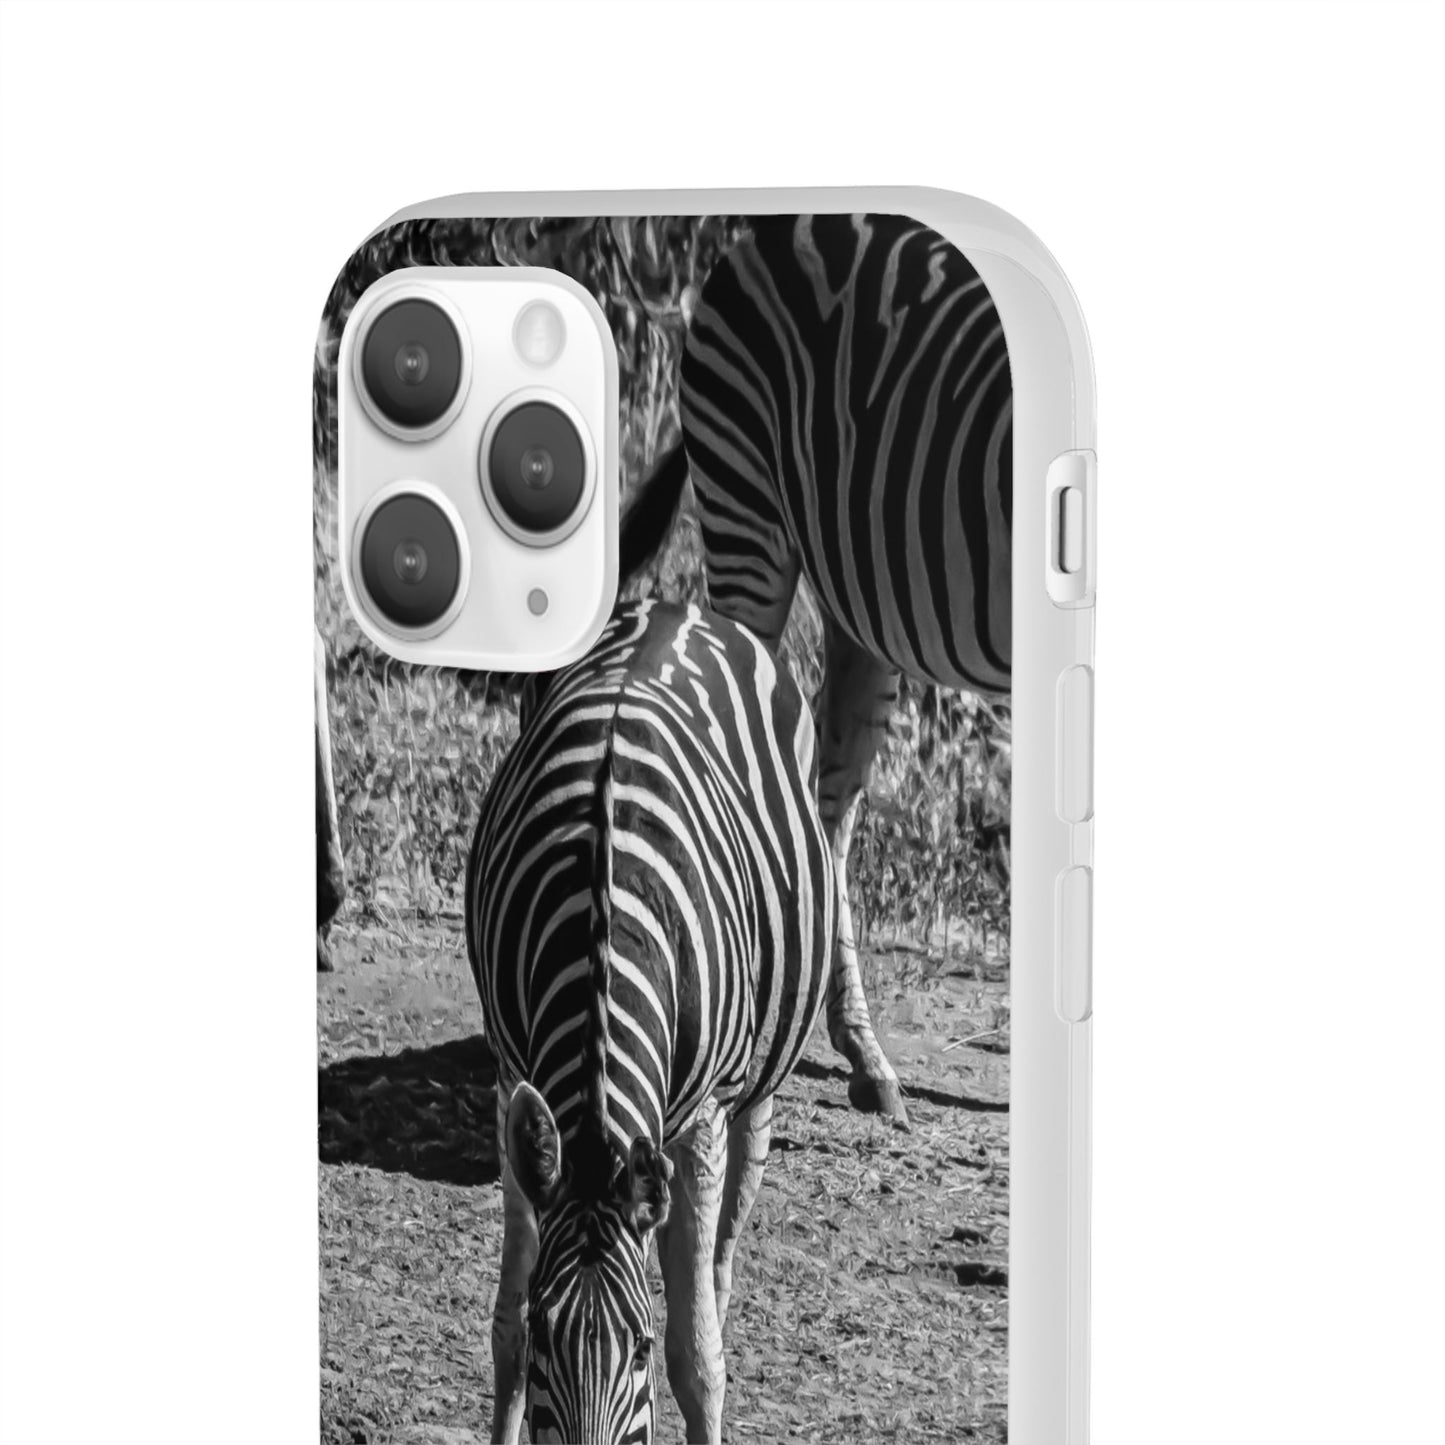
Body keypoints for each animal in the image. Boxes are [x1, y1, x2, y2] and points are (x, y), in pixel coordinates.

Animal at [467, 598, 834, 1445]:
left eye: (634, 1347)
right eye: (547, 1334)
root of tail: (677, 605)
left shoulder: (698, 1119)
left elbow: (696, 1358)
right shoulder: (511, 1076)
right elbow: (503, 1325)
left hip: (754, 1081)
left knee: (722, 1249)